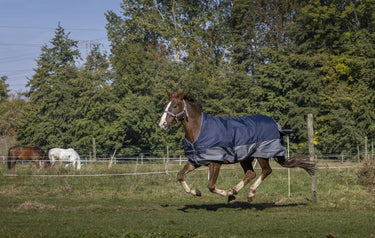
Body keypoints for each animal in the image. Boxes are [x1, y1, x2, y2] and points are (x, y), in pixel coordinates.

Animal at [160, 90, 316, 203]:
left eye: (175, 106)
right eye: (166, 105)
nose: (162, 124)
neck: (199, 130)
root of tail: (276, 125)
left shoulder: (215, 162)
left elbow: (211, 186)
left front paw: (226, 193)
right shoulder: (196, 161)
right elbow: (180, 175)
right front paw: (196, 192)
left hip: (261, 155)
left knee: (266, 171)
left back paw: (249, 194)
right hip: (245, 158)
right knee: (251, 174)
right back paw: (234, 191)